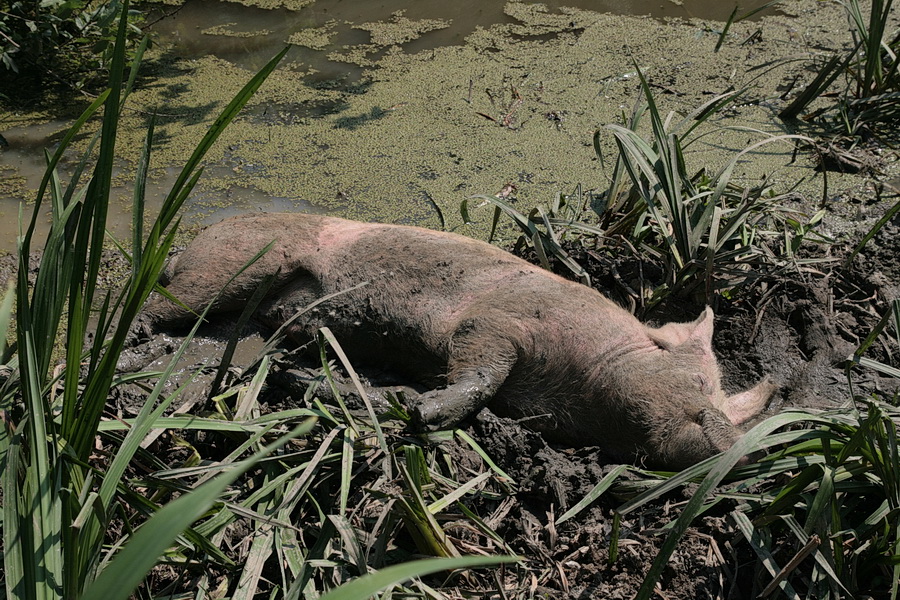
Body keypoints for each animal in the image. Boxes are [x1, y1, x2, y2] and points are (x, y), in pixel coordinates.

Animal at [146, 213, 772, 472]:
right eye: (701, 383)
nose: (743, 450)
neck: (573, 390)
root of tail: (191, 243)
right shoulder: (495, 323)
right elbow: (477, 376)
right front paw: (421, 412)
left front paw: (409, 404)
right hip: (235, 263)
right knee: (163, 306)